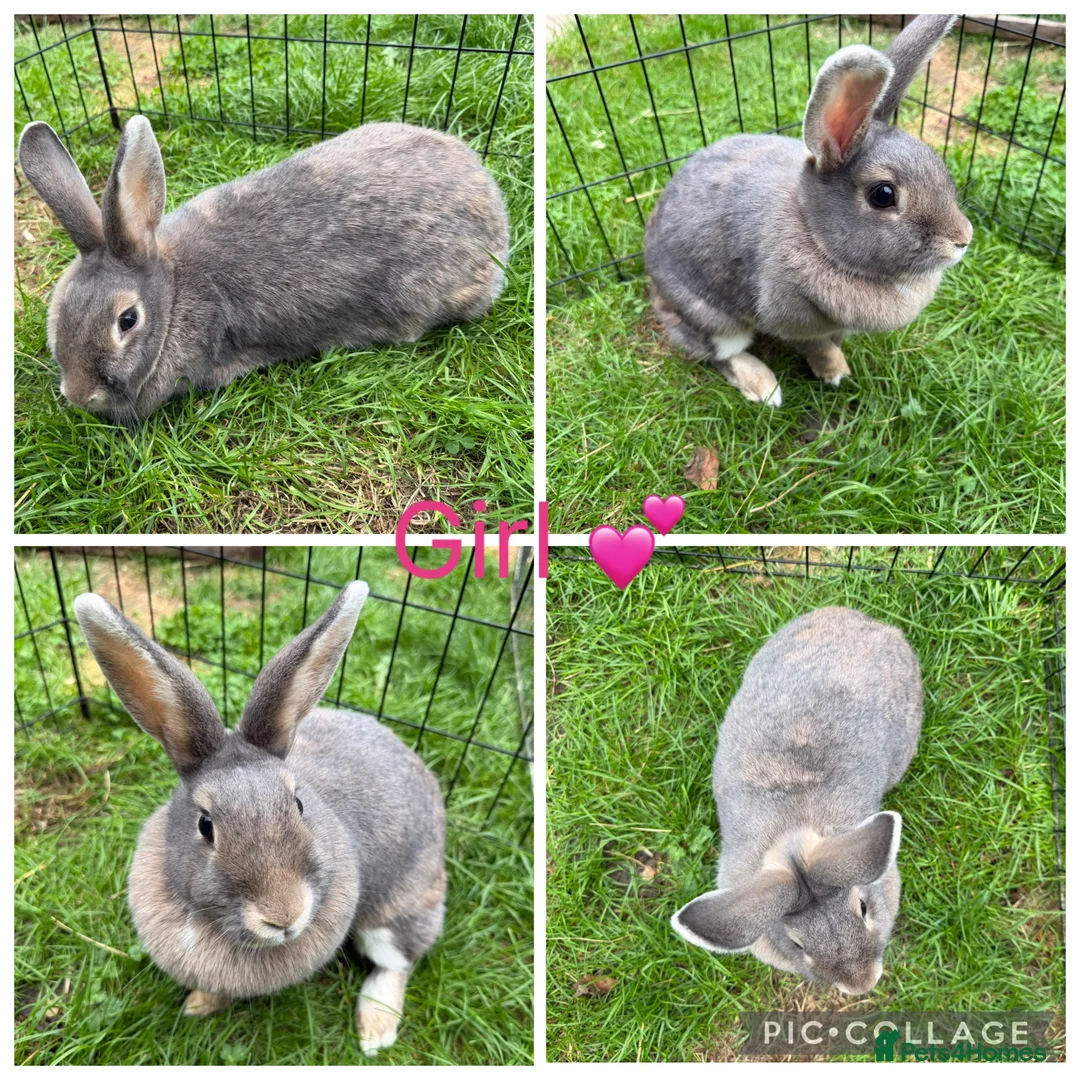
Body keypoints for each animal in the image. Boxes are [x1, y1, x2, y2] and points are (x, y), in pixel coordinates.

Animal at [73, 581, 446, 1056]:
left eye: (299, 804)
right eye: (205, 825)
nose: (284, 916)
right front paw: (200, 1003)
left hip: (399, 910)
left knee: (399, 960)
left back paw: (375, 1030)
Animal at [645, 14, 972, 407]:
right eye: (883, 195)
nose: (963, 239)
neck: (816, 234)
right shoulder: (791, 320)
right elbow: (815, 345)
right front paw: (835, 372)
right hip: (712, 317)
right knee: (716, 352)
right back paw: (764, 388)